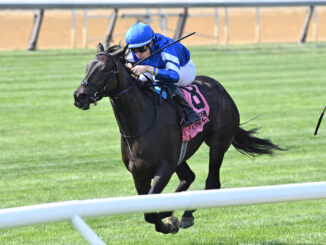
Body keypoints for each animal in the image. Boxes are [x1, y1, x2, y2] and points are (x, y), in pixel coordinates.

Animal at [72, 43, 282, 234]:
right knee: (188, 177)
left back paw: (187, 215)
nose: (79, 96)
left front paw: (167, 222)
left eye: (105, 69)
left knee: (212, 182)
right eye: (87, 67)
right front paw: (167, 219)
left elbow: (151, 209)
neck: (141, 119)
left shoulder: (164, 168)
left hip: (218, 144)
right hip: (180, 156)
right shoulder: (138, 172)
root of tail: (221, 90)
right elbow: (148, 210)